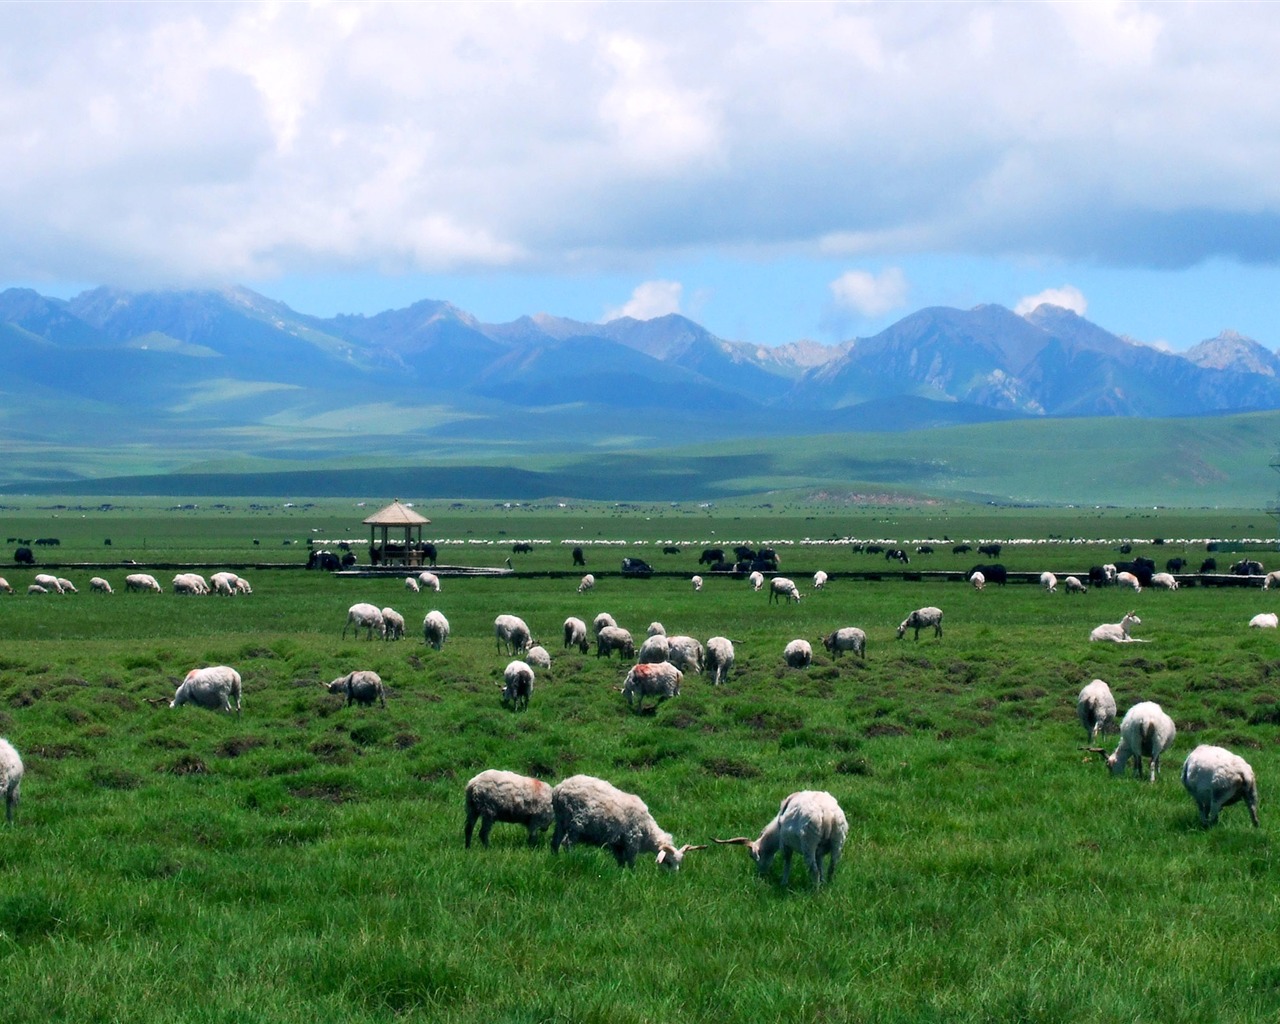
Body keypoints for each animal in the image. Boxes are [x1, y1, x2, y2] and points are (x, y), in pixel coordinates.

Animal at [550, 778, 706, 870]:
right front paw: (632, 876)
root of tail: (559, 789)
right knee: (567, 843)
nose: (673, 879)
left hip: (561, 821)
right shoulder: (632, 841)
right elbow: (631, 862)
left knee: (555, 842)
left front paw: (621, 874)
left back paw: (555, 858)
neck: (648, 831)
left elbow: (621, 862)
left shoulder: (618, 845)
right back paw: (570, 859)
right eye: (668, 862)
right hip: (575, 823)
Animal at [711, 793, 849, 885]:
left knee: (814, 871)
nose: (761, 874)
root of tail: (827, 814)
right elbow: (821, 866)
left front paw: (783, 883)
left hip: (809, 842)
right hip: (838, 839)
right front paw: (823, 882)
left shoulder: (784, 844)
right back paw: (827, 888)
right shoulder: (819, 852)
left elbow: (787, 862)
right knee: (832, 867)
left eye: (751, 856)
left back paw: (815, 892)